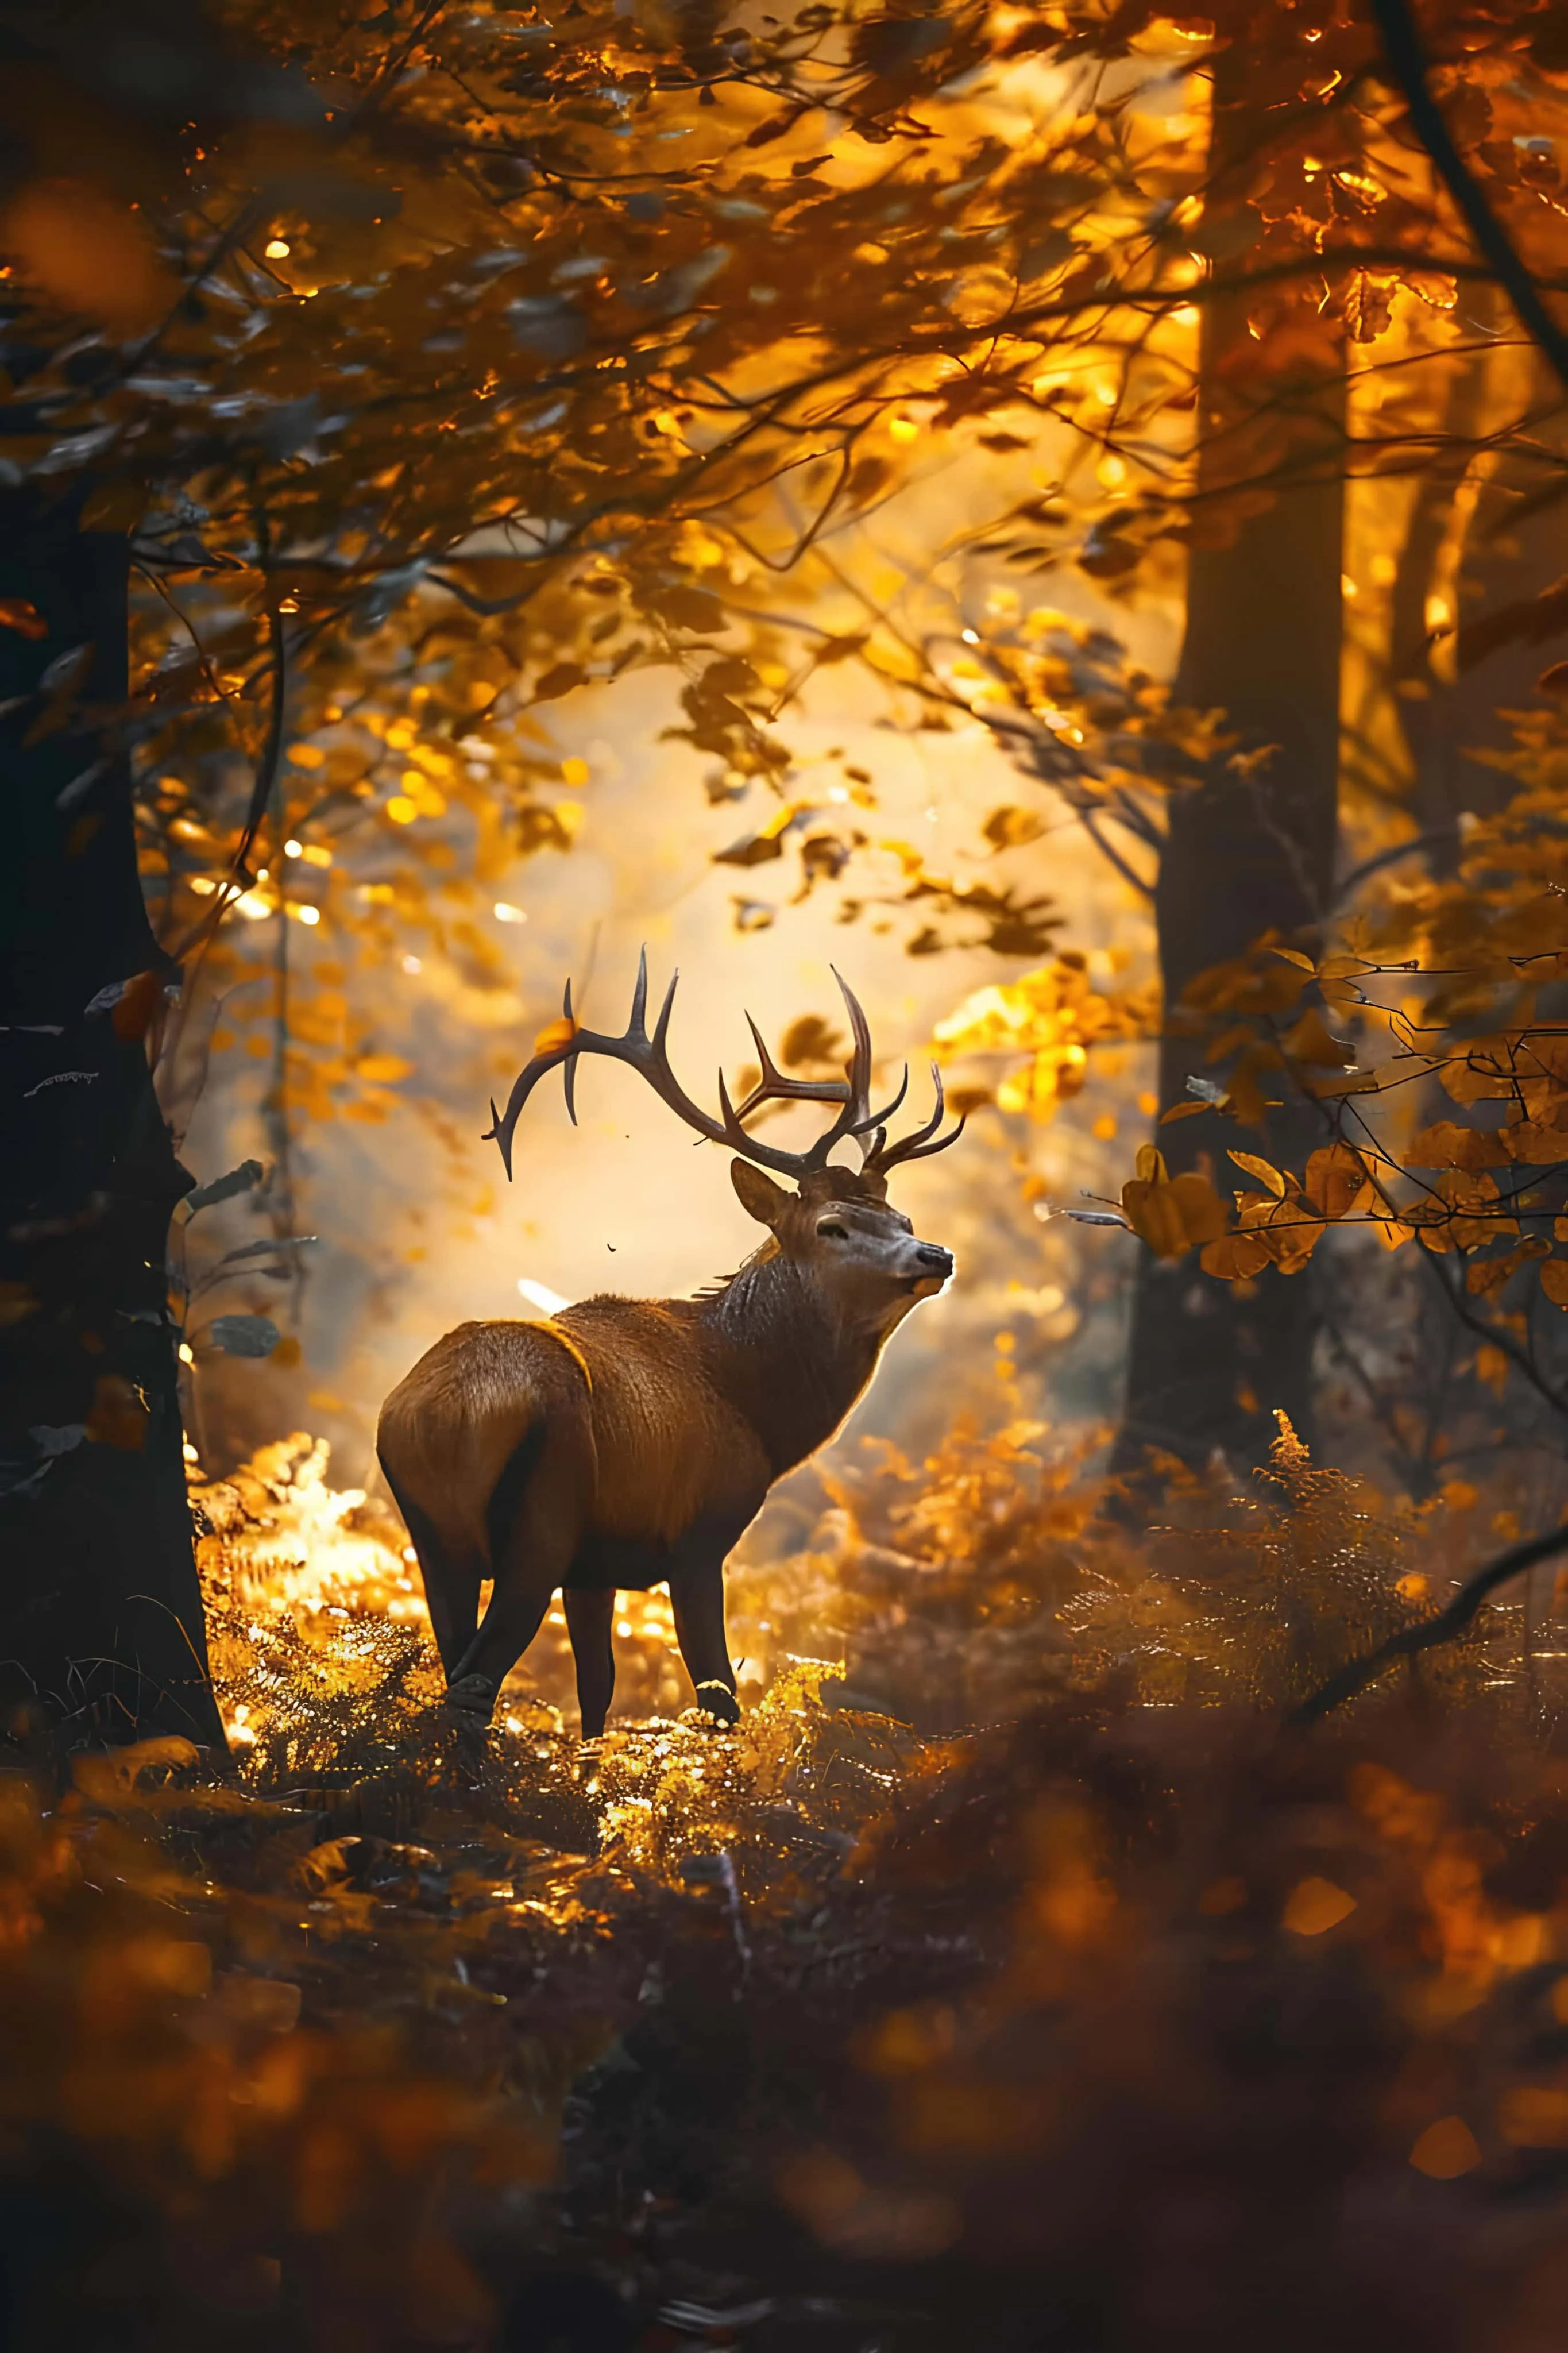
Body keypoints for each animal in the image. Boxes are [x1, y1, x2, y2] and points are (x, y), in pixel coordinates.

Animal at [376, 954, 961, 1737]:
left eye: (902, 1216)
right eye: (832, 1225)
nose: (935, 1255)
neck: (757, 1409)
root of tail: (437, 1417)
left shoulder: (594, 1568)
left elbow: (597, 1694)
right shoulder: (697, 1534)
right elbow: (719, 1694)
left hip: (435, 1540)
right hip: (541, 1521)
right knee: (472, 1686)